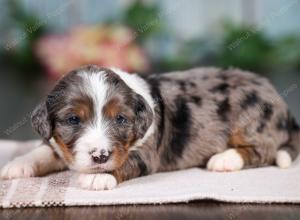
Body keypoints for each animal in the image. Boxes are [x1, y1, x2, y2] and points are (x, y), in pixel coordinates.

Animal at [1, 64, 298, 190]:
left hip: (253, 119)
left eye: (121, 119)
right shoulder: (58, 144)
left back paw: (224, 159)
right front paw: (17, 165)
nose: (100, 156)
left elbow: (126, 162)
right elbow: (44, 149)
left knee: (265, 150)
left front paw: (98, 176)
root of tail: (281, 101)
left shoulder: (146, 153)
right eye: (74, 120)